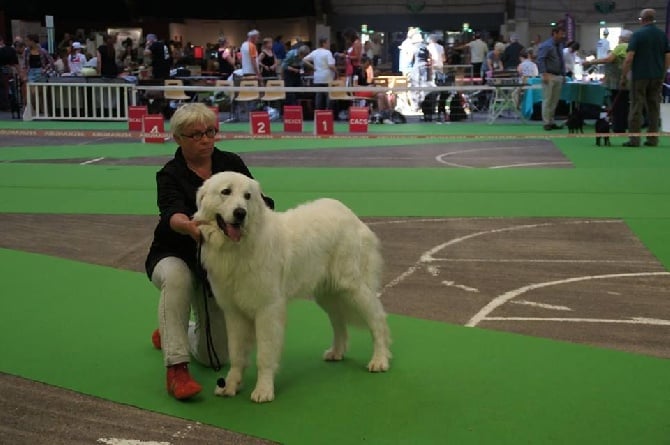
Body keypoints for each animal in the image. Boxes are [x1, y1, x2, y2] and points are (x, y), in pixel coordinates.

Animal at [194, 170, 392, 402]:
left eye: (247, 196)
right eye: (226, 191)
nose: (240, 213)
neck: (238, 247)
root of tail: (351, 215)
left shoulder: (267, 309)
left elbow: (265, 354)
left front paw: (264, 390)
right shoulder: (234, 312)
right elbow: (236, 354)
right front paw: (231, 385)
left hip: (352, 286)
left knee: (377, 319)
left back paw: (379, 359)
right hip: (327, 294)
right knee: (339, 322)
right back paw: (336, 352)